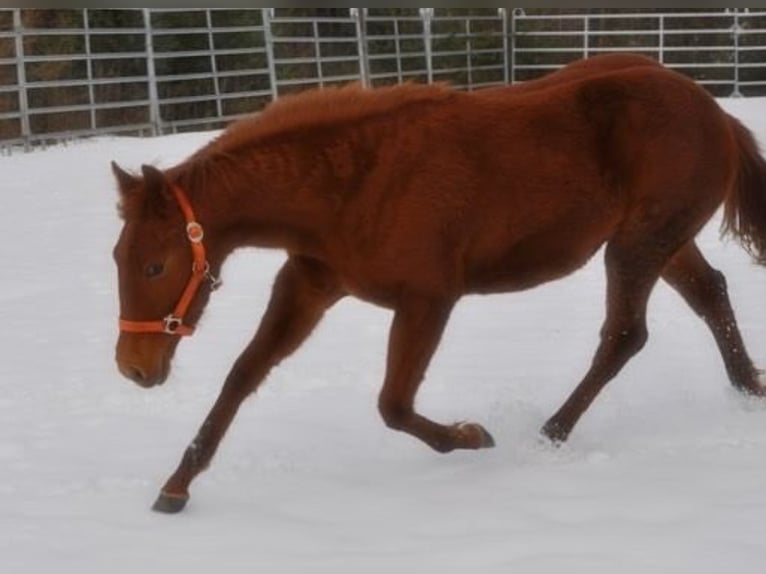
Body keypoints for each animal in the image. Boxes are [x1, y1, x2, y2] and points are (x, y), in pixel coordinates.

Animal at [111, 54, 766, 513]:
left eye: (154, 267)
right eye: (117, 256)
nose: (134, 368)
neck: (352, 183)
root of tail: (715, 113)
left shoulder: (427, 299)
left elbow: (394, 405)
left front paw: (472, 436)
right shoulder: (308, 284)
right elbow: (243, 375)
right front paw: (177, 485)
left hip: (637, 246)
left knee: (624, 335)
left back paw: (551, 432)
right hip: (665, 244)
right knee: (710, 294)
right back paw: (748, 389)